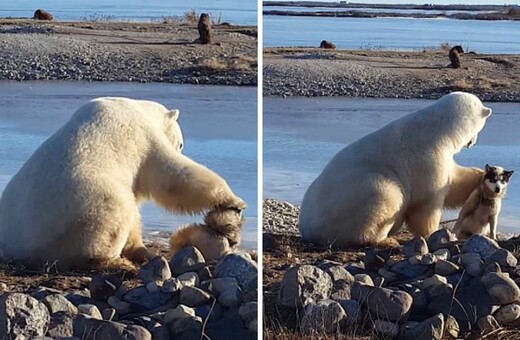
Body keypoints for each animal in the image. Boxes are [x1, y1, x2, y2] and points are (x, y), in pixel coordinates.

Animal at [0, 97, 245, 270]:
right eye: (182, 143)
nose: (181, 147)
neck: (138, 109)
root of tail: (16, 248)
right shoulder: (142, 138)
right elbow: (172, 175)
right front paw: (234, 201)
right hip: (83, 207)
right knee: (114, 213)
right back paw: (116, 263)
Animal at [298, 92, 490, 247]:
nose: (472, 143)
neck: (438, 129)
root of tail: (306, 228)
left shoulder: (443, 156)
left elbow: (455, 182)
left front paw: (483, 175)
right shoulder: (426, 158)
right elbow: (426, 202)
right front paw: (433, 233)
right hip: (353, 198)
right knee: (386, 195)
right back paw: (385, 239)